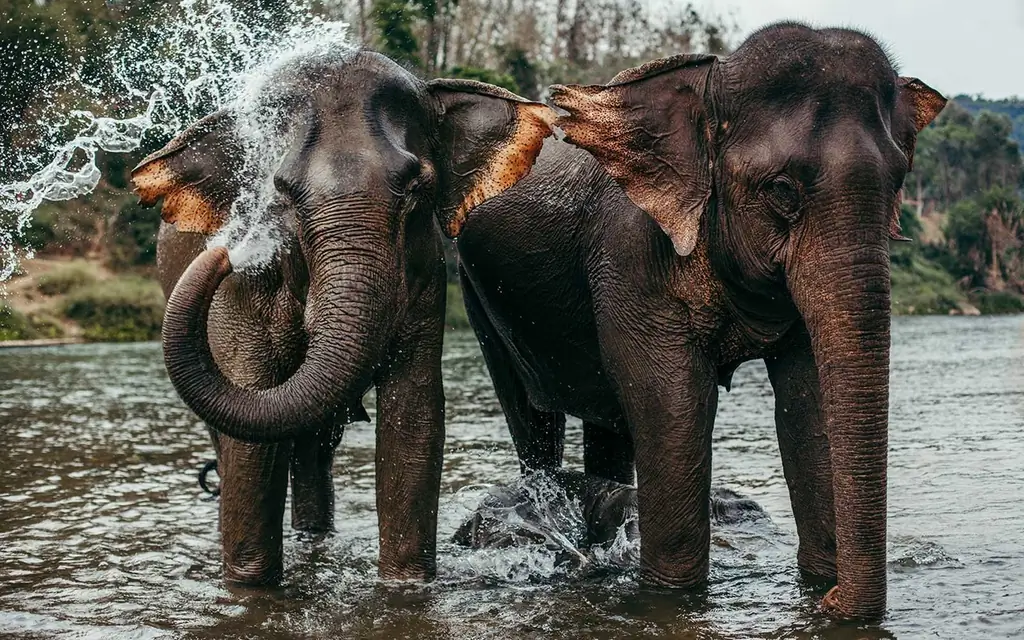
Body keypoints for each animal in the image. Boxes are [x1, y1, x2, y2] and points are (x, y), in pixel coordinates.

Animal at [131, 50, 557, 586]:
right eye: (281, 193)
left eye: (416, 188)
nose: (228, 251)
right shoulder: (242, 294)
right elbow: (250, 436)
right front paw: (249, 586)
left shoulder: (424, 276)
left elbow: (413, 418)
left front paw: (404, 585)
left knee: (314, 448)